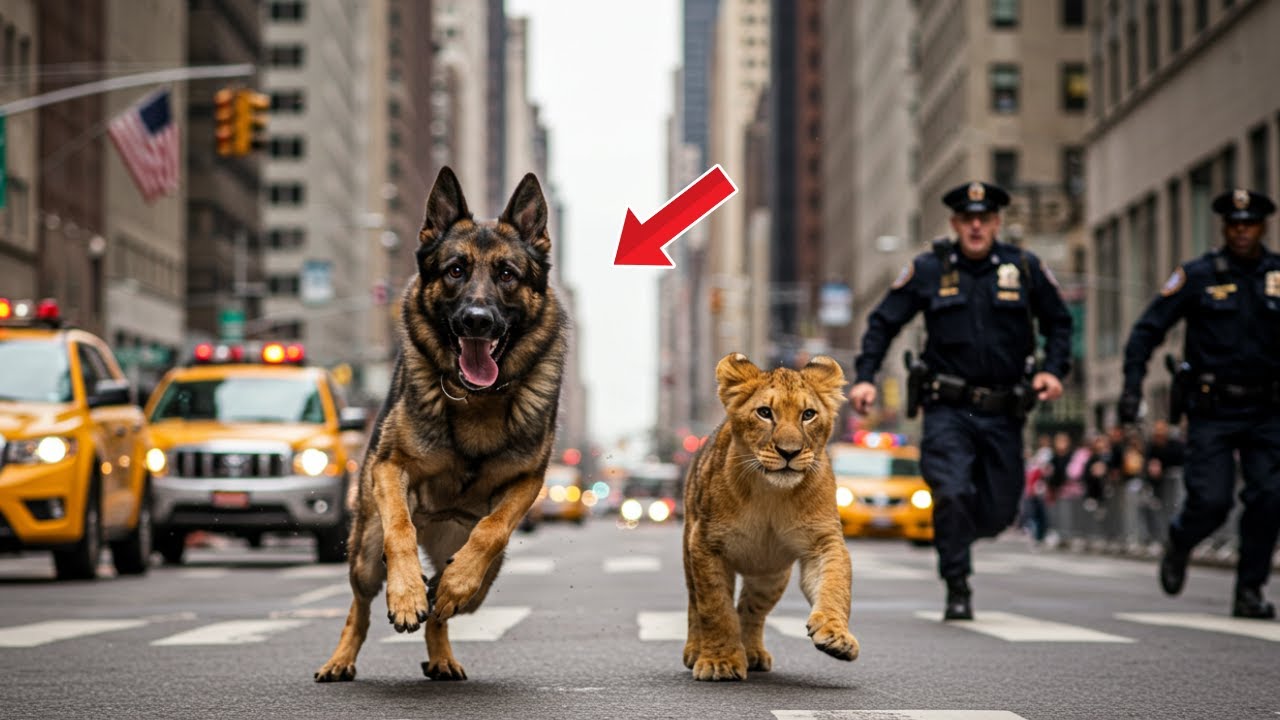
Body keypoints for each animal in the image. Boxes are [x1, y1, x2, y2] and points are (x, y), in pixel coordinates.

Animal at [681, 352, 859, 681]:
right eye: (765, 413)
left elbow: (835, 585)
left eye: (808, 414)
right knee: (695, 603)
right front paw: (719, 662)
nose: (789, 452)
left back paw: (751, 653)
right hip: (690, 550)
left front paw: (836, 636)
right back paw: (696, 650)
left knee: (749, 610)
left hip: (770, 575)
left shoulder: (822, 540)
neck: (771, 494)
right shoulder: (706, 543)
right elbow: (715, 608)